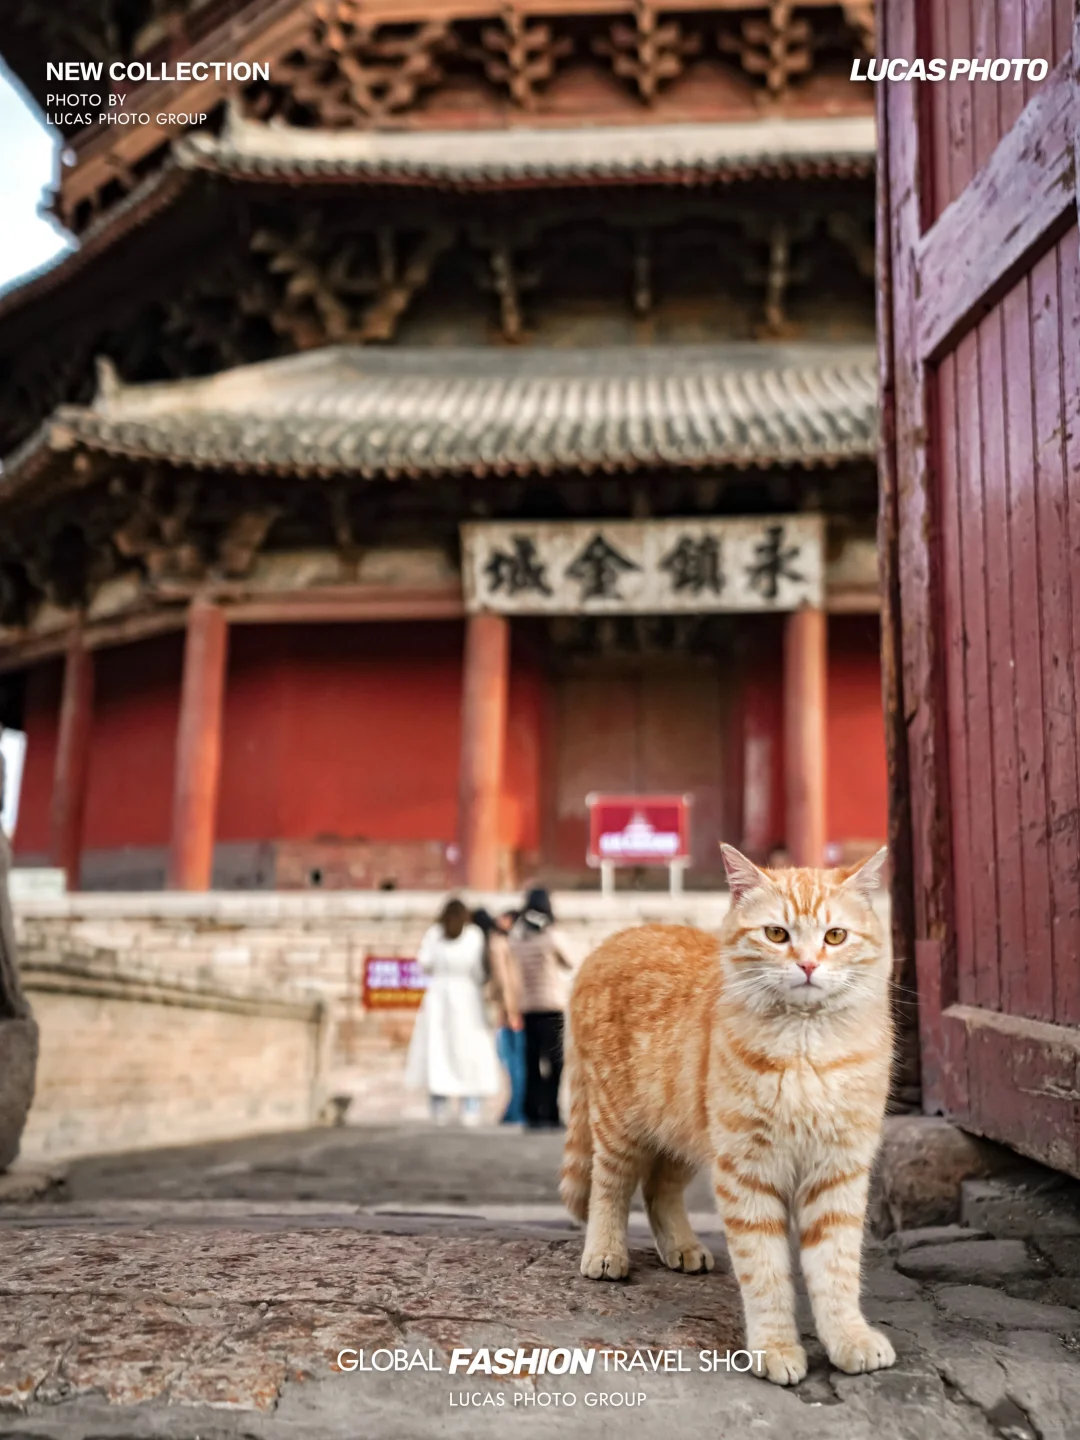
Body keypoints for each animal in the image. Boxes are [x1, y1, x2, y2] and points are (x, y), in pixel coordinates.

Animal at [558, 840, 898, 1382]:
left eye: (836, 936)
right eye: (777, 934)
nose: (807, 965)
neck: (805, 1048)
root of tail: (618, 935)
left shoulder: (837, 1172)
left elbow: (837, 1270)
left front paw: (849, 1337)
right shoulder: (747, 1172)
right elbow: (765, 1273)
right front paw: (775, 1347)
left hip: (685, 1135)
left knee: (658, 1190)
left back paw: (681, 1246)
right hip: (619, 1126)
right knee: (611, 1188)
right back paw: (606, 1251)